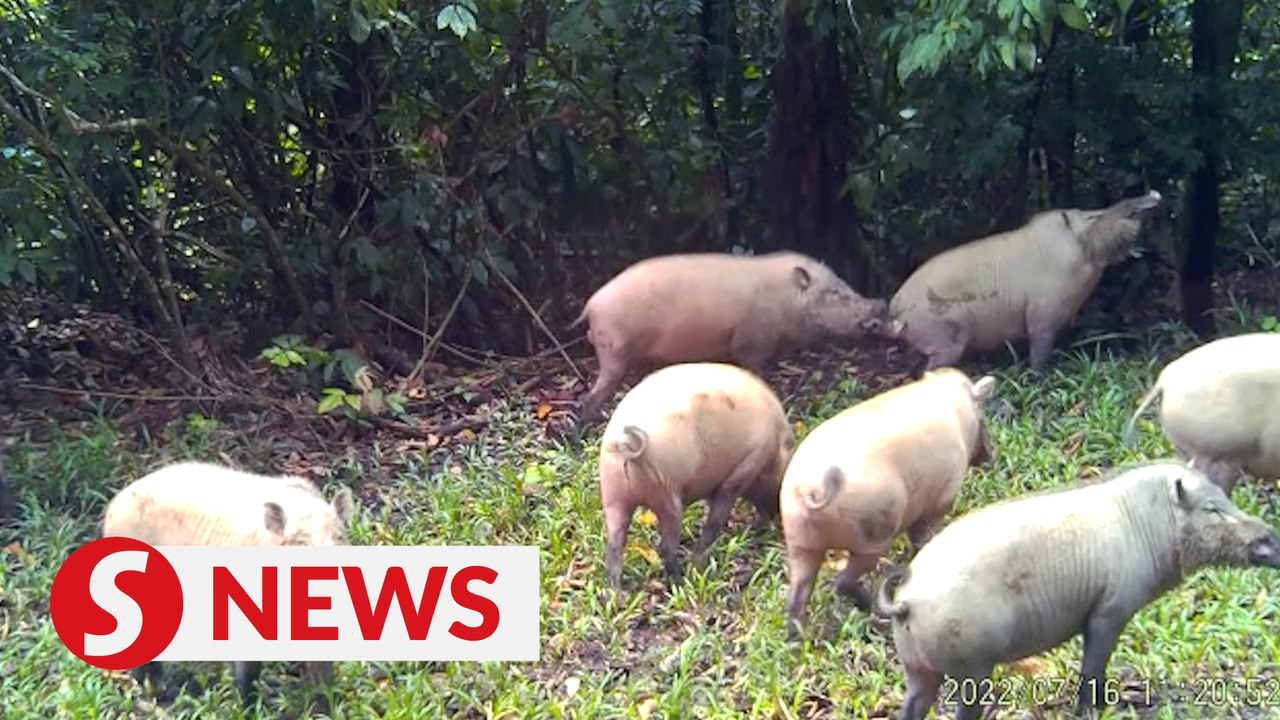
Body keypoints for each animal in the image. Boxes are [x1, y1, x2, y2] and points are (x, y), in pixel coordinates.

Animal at [571, 251, 901, 425]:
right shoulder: (752, 342)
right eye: (835, 293)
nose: (881, 305)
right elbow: (755, 371)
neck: (786, 303)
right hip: (614, 349)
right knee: (592, 395)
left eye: (844, 285)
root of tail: (591, 305)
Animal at [598, 362, 795, 588]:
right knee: (665, 545)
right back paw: (680, 580)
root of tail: (626, 442)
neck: (776, 446)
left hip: (613, 495)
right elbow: (716, 519)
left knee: (614, 544)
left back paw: (615, 592)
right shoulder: (743, 470)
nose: (776, 517)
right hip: (666, 495)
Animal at [780, 368, 996, 638]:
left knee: (797, 593)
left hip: (800, 541)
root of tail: (814, 488)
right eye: (982, 413)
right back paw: (870, 608)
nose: (992, 454)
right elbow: (922, 536)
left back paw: (797, 638)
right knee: (843, 580)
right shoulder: (940, 498)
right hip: (874, 536)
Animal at [875, 460, 1280, 720]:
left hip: (917, 670)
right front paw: (1091, 711)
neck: (1148, 524)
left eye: (1226, 499)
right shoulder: (1109, 611)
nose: (1272, 539)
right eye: (1213, 508)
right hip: (972, 669)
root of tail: (906, 600)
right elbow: (1092, 666)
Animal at [889, 191, 1164, 372]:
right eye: (1091, 217)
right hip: (944, 342)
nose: (1154, 194)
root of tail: (895, 308)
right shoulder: (1043, 317)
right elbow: (1039, 356)